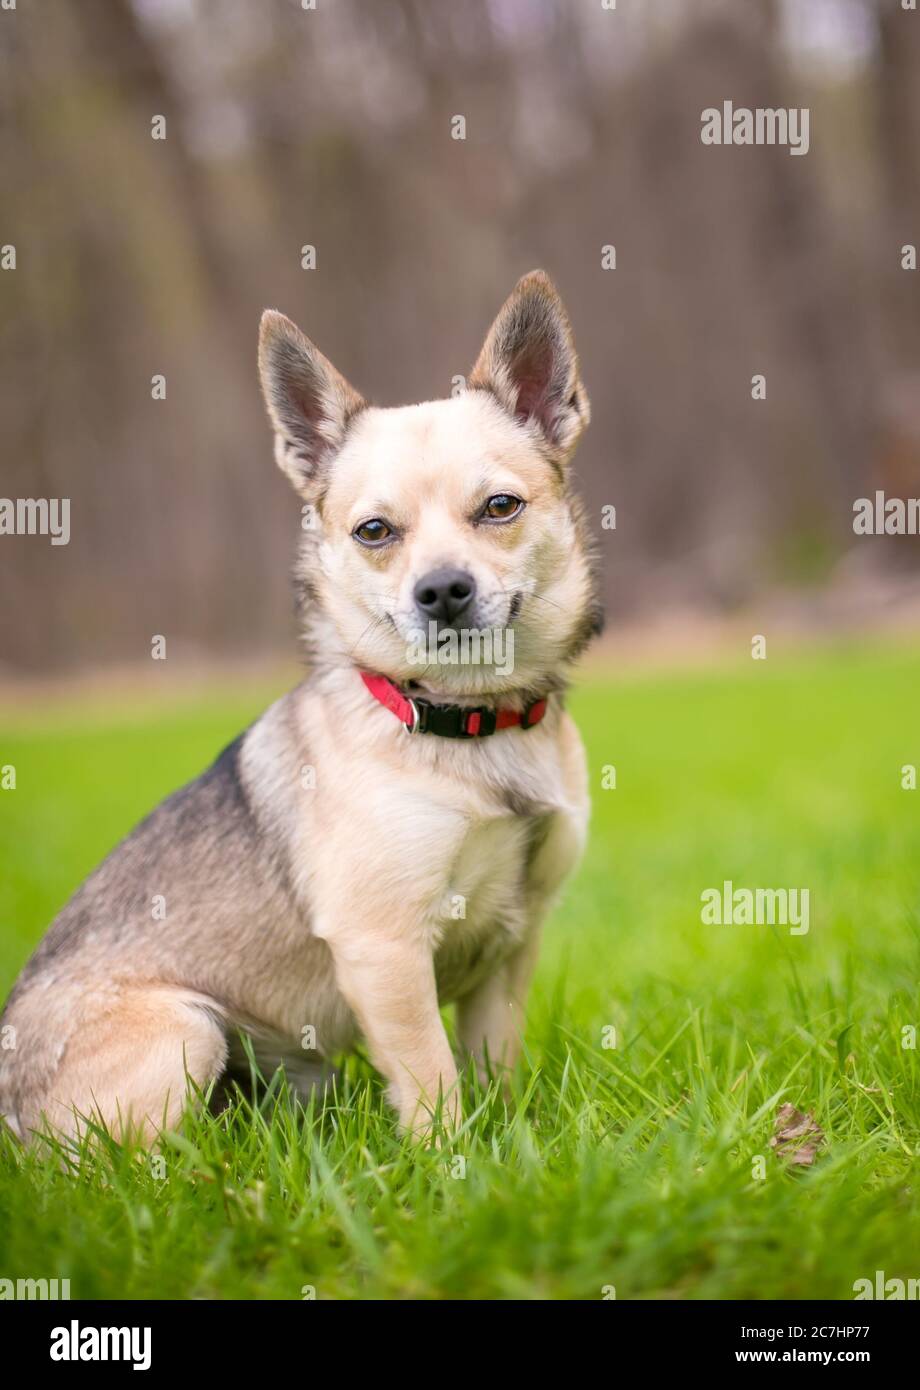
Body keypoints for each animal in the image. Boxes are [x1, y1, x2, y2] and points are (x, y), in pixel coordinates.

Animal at [0, 268, 603, 1139]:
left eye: (500, 508)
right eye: (374, 532)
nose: (442, 591)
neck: (466, 723)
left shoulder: (511, 948)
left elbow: (494, 1068)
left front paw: (507, 1141)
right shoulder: (384, 951)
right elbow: (433, 1082)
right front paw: (455, 1161)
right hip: (188, 1028)